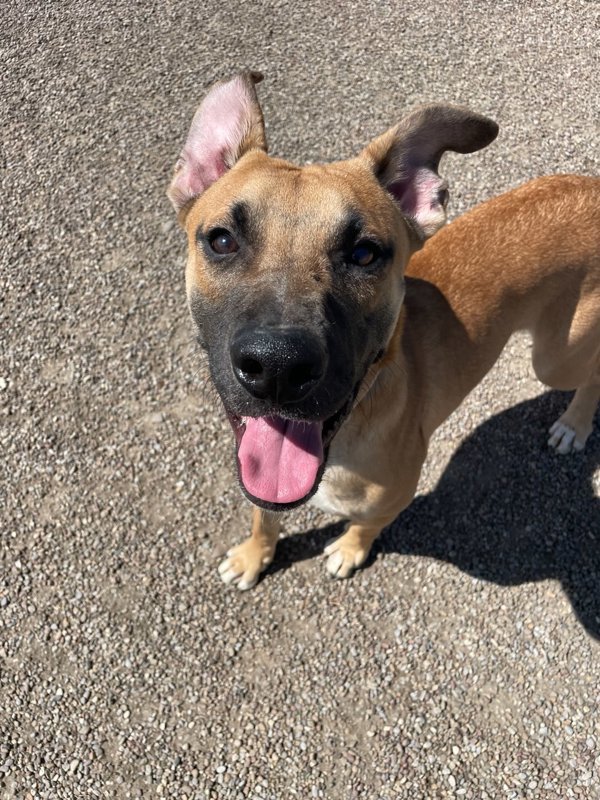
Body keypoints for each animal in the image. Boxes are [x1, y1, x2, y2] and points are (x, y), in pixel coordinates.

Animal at [165, 72, 600, 592]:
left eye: (364, 253)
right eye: (222, 240)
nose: (277, 366)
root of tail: (592, 188)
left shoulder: (397, 493)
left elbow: (365, 524)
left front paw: (350, 550)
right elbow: (263, 515)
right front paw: (255, 554)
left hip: (557, 358)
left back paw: (574, 425)